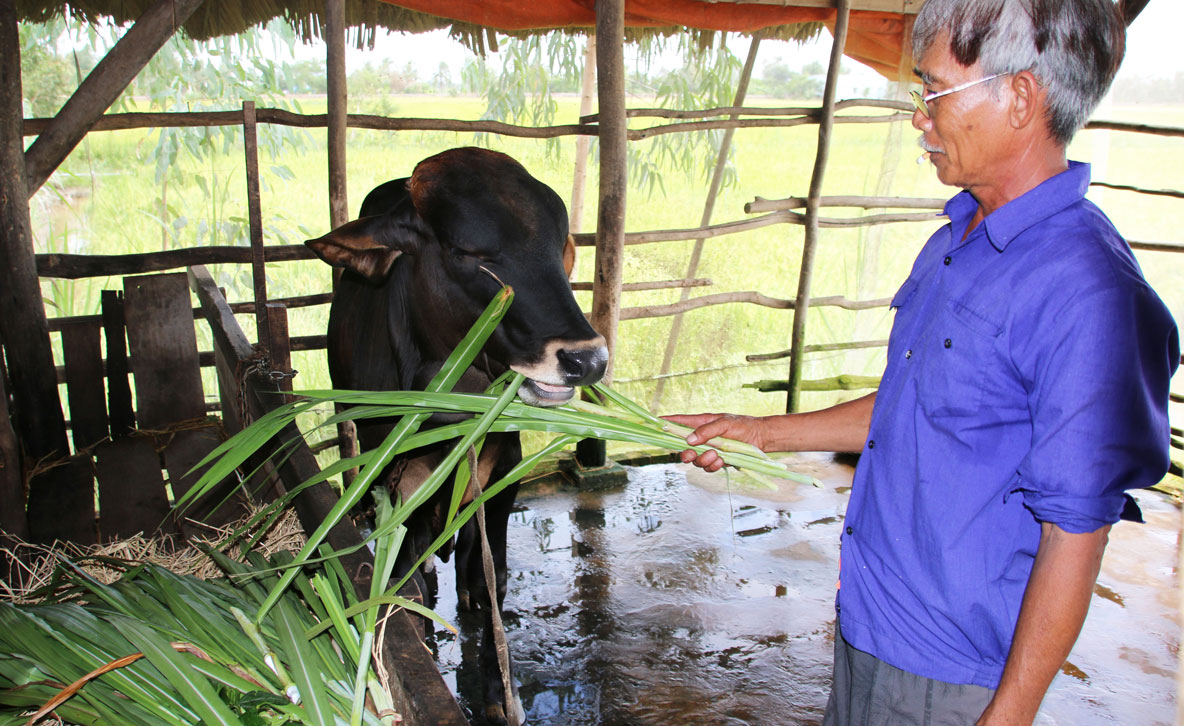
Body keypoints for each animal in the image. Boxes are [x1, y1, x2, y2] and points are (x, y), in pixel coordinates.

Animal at [305, 147, 606, 724]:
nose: (587, 359)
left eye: (559, 246)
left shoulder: (502, 473)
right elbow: (408, 590)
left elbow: (491, 582)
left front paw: (496, 694)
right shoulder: (395, 485)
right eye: (465, 251)